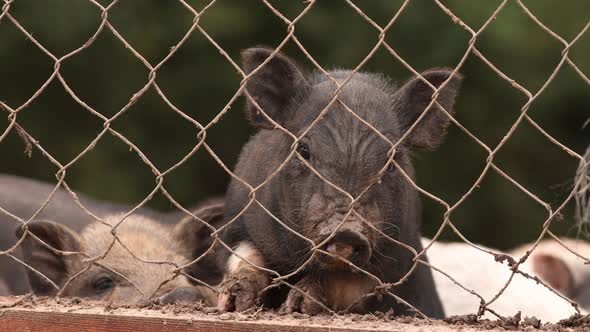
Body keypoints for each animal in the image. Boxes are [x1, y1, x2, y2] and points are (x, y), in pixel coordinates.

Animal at [217, 45, 462, 318]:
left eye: (390, 162)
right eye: (303, 149)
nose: (346, 231)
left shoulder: (395, 259)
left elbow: (348, 282)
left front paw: (297, 305)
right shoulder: (238, 218)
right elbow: (244, 256)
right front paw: (233, 303)